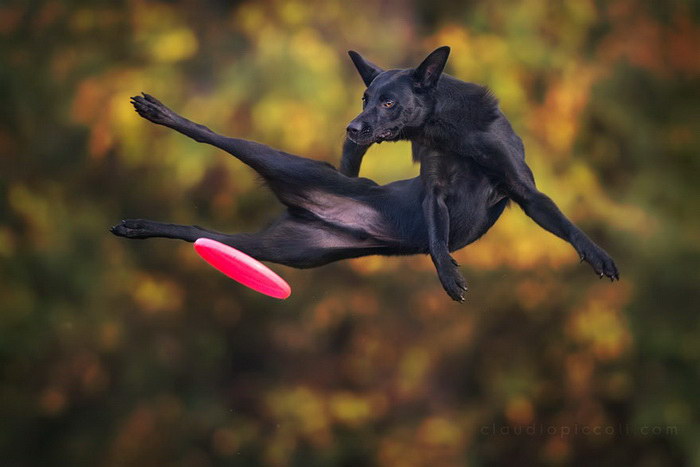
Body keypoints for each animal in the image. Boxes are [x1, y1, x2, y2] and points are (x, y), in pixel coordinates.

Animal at [110, 93, 508, 296]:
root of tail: (312, 209)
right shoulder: (441, 188)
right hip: (285, 164)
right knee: (211, 135)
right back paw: (159, 113)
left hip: (288, 249)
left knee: (198, 233)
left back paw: (137, 227)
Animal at [344, 46, 616, 300]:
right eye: (365, 99)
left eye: (388, 102)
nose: (351, 129)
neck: (454, 136)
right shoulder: (435, 194)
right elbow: (437, 239)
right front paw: (449, 275)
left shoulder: (527, 193)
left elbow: (567, 225)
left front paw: (598, 255)